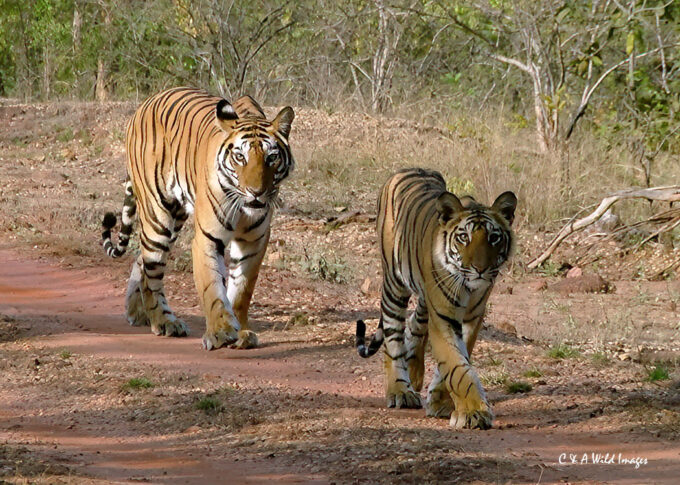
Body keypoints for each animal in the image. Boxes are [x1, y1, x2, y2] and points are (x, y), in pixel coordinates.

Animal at [101, 87, 295, 351]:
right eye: (240, 157)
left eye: (271, 158)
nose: (256, 192)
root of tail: (145, 104)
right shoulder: (208, 238)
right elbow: (212, 288)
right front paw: (221, 331)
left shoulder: (254, 241)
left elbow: (241, 290)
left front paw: (241, 332)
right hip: (158, 216)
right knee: (152, 270)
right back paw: (163, 321)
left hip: (175, 218)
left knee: (141, 258)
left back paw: (136, 312)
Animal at [355, 168, 516, 429]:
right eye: (464, 238)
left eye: (494, 238)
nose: (480, 269)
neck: (469, 288)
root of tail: (409, 169)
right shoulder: (444, 317)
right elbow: (456, 366)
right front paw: (473, 413)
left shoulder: (471, 317)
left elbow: (456, 362)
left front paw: (441, 402)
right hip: (394, 284)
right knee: (392, 334)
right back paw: (400, 390)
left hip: (423, 298)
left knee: (414, 324)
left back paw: (413, 374)